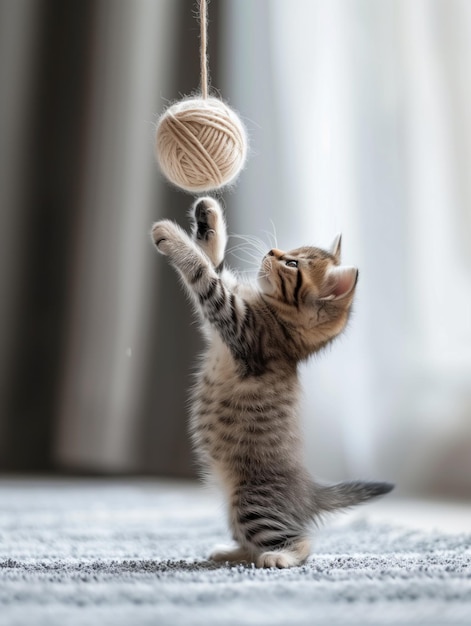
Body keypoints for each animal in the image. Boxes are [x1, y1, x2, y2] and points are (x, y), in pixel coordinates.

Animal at [152, 197, 394, 568]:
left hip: (252, 502)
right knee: (249, 540)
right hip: (237, 510)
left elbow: (203, 272)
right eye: (291, 253)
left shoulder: (237, 324)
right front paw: (208, 217)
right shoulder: (227, 314)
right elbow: (214, 263)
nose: (271, 250)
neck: (279, 324)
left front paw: (172, 237)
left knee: (301, 541)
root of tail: (309, 491)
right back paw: (230, 553)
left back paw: (279, 557)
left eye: (292, 263)